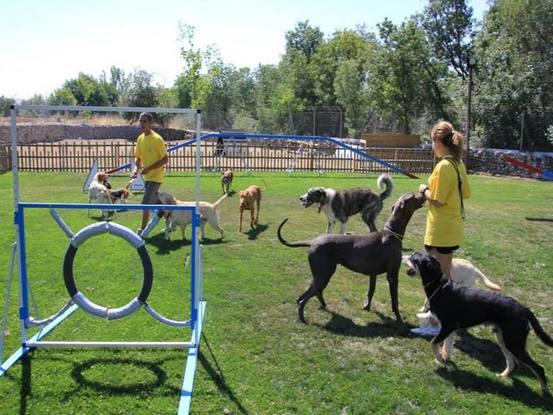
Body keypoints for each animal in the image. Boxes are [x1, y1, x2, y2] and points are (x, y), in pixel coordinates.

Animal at [402, 250, 552, 394]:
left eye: (414, 259)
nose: (402, 256)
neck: (439, 286)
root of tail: (523, 308)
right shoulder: (449, 330)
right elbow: (445, 345)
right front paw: (444, 359)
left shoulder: (448, 326)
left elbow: (433, 343)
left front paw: (440, 359)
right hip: (503, 339)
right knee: (512, 362)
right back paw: (503, 376)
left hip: (514, 343)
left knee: (539, 367)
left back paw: (544, 390)